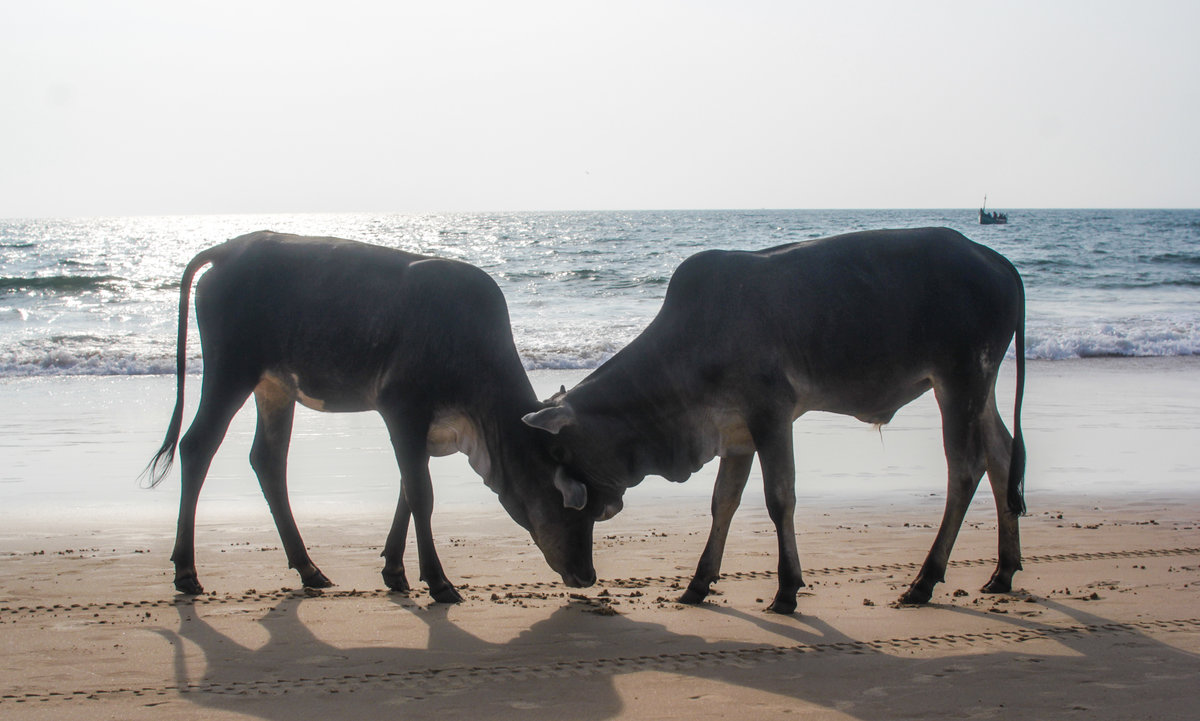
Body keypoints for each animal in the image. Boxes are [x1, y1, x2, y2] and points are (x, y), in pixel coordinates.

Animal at [144, 231, 596, 601]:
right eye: (567, 505)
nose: (587, 575)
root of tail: (229, 250)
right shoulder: (402, 408)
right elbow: (421, 495)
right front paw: (439, 582)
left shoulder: (423, 429)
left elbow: (406, 492)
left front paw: (395, 572)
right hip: (231, 370)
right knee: (197, 446)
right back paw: (186, 571)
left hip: (275, 386)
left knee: (268, 460)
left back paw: (308, 569)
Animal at [523, 227, 1026, 614]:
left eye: (561, 451)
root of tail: (996, 260)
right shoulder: (735, 433)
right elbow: (722, 502)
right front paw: (698, 583)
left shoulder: (771, 416)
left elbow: (779, 499)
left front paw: (786, 590)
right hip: (979, 388)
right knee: (1002, 456)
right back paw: (1002, 572)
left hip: (960, 380)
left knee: (966, 470)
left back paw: (924, 582)